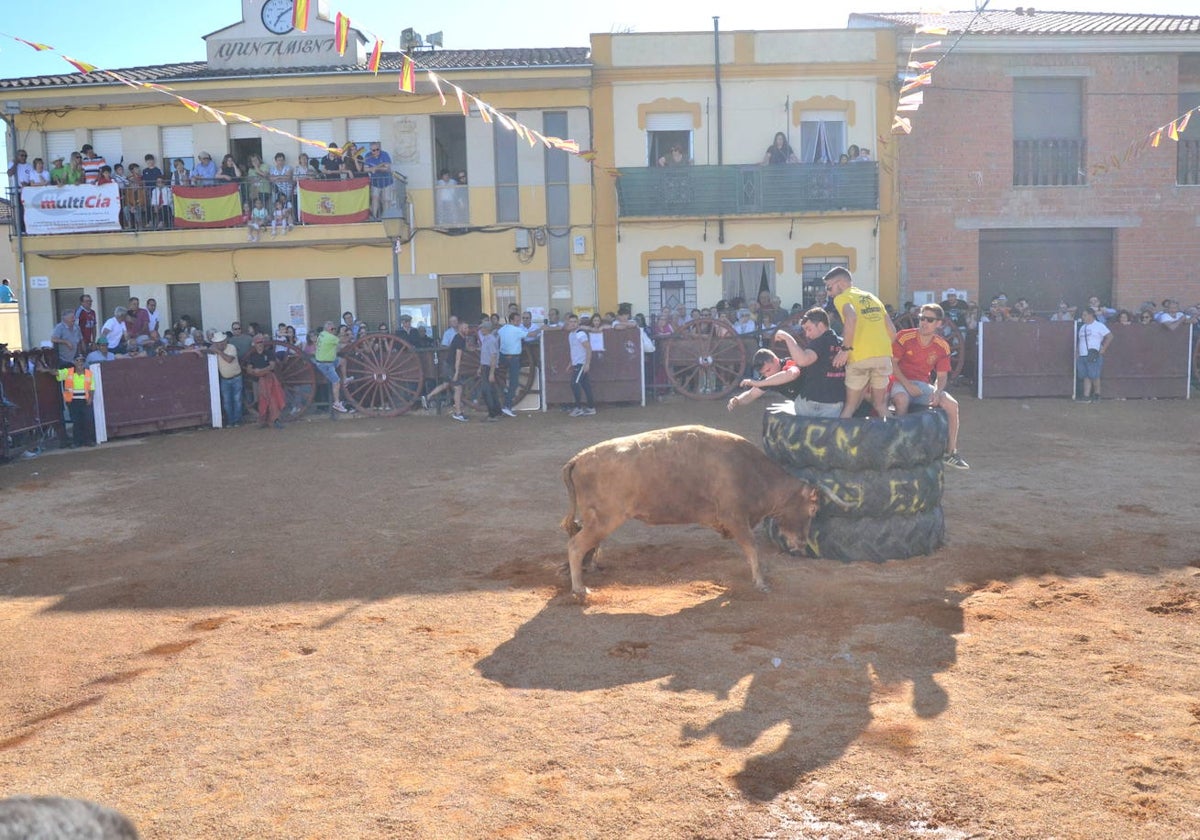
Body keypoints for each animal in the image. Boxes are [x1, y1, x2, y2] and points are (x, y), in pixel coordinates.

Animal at [559, 427, 825, 597]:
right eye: (812, 508)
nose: (803, 544)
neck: (752, 471)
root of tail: (580, 458)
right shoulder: (736, 518)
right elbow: (752, 548)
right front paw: (760, 582)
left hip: (598, 520)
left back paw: (590, 569)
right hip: (605, 519)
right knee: (576, 545)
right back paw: (579, 588)